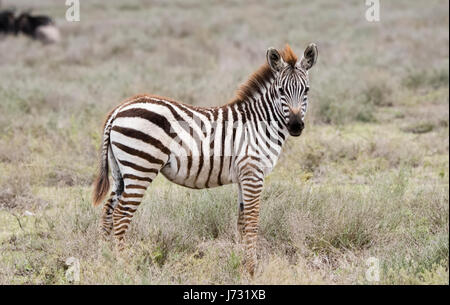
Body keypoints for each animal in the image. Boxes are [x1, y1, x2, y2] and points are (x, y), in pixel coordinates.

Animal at [91, 44, 318, 274]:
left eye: (306, 90)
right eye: (281, 91)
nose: (296, 126)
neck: (260, 123)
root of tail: (119, 109)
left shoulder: (244, 176)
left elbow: (242, 222)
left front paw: (241, 265)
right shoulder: (253, 172)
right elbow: (253, 222)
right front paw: (252, 269)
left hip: (121, 171)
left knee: (108, 212)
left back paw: (104, 263)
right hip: (140, 167)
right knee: (121, 214)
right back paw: (124, 267)